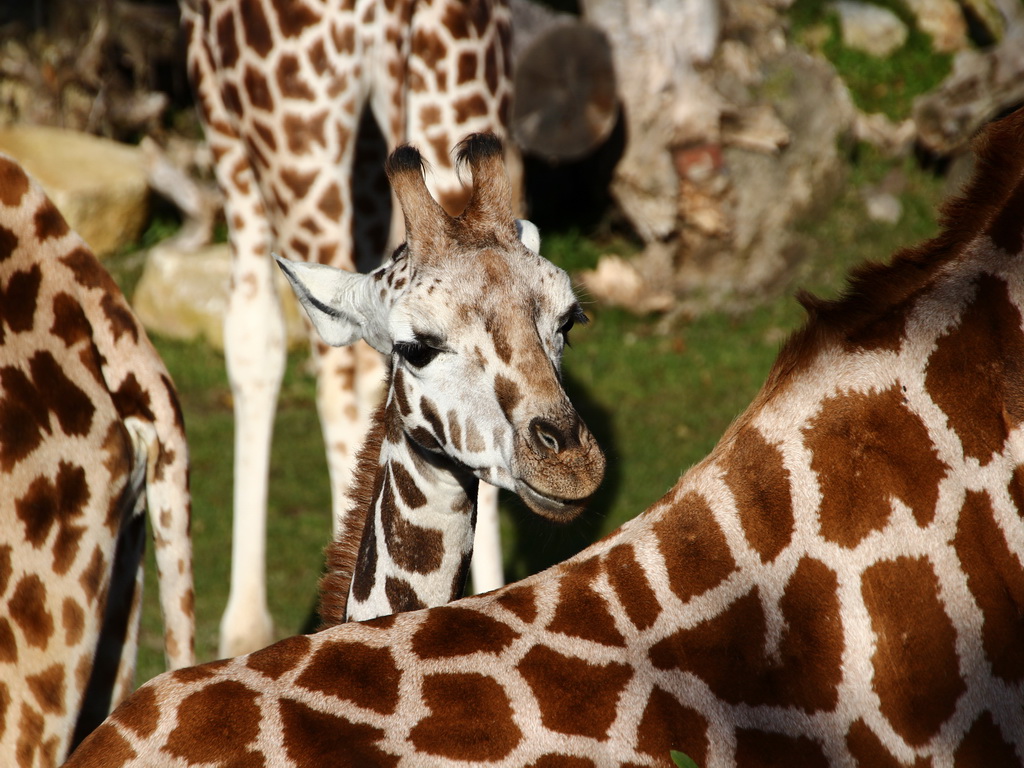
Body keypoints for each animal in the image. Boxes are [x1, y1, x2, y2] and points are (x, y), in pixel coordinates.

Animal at [178, 0, 520, 659]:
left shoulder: (217, 109)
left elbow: (253, 339)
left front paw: (244, 625)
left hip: (299, 134)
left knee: (337, 364)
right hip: (458, 97)